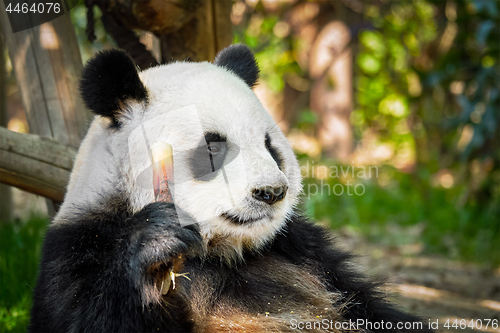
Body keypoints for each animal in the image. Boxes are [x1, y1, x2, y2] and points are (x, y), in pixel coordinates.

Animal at [29, 44, 432, 332]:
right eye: (213, 147)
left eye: (270, 146)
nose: (271, 192)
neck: (219, 252)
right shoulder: (80, 249)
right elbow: (82, 317)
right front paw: (160, 237)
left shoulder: (306, 252)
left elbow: (373, 309)